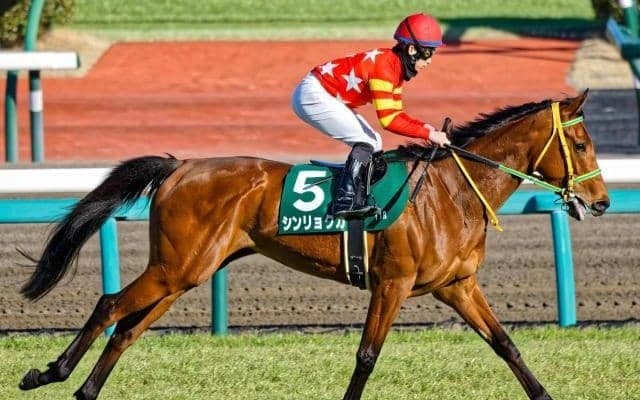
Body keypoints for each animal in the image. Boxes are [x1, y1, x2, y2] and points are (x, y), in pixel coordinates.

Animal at [18, 90, 609, 400]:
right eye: (581, 143)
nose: (601, 202)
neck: (452, 191)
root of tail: (180, 165)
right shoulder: (392, 283)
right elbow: (367, 355)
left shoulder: (458, 285)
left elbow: (506, 344)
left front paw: (545, 395)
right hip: (175, 266)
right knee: (109, 304)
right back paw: (50, 373)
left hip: (188, 271)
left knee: (128, 327)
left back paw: (84, 390)